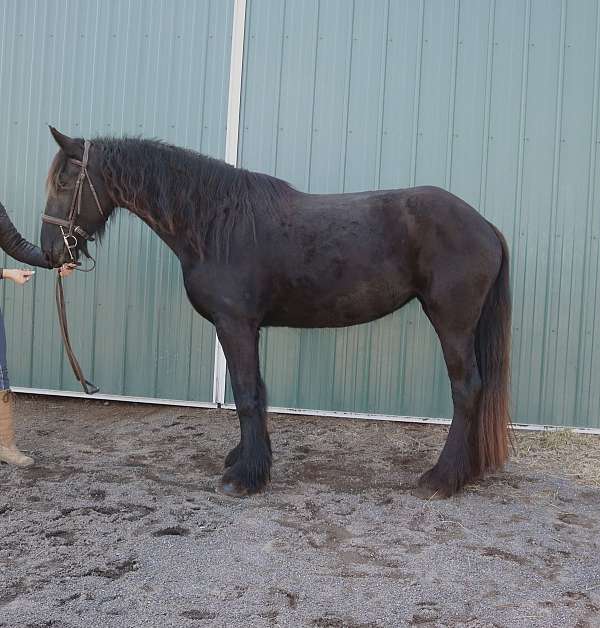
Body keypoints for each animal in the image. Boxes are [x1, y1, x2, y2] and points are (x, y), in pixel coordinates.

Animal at [41, 126, 510, 500]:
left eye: (65, 180)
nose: (50, 251)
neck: (215, 224)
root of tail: (485, 224)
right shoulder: (244, 328)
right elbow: (254, 394)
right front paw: (243, 461)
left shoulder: (235, 325)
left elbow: (248, 396)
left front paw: (244, 478)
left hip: (452, 322)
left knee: (466, 389)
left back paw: (442, 478)